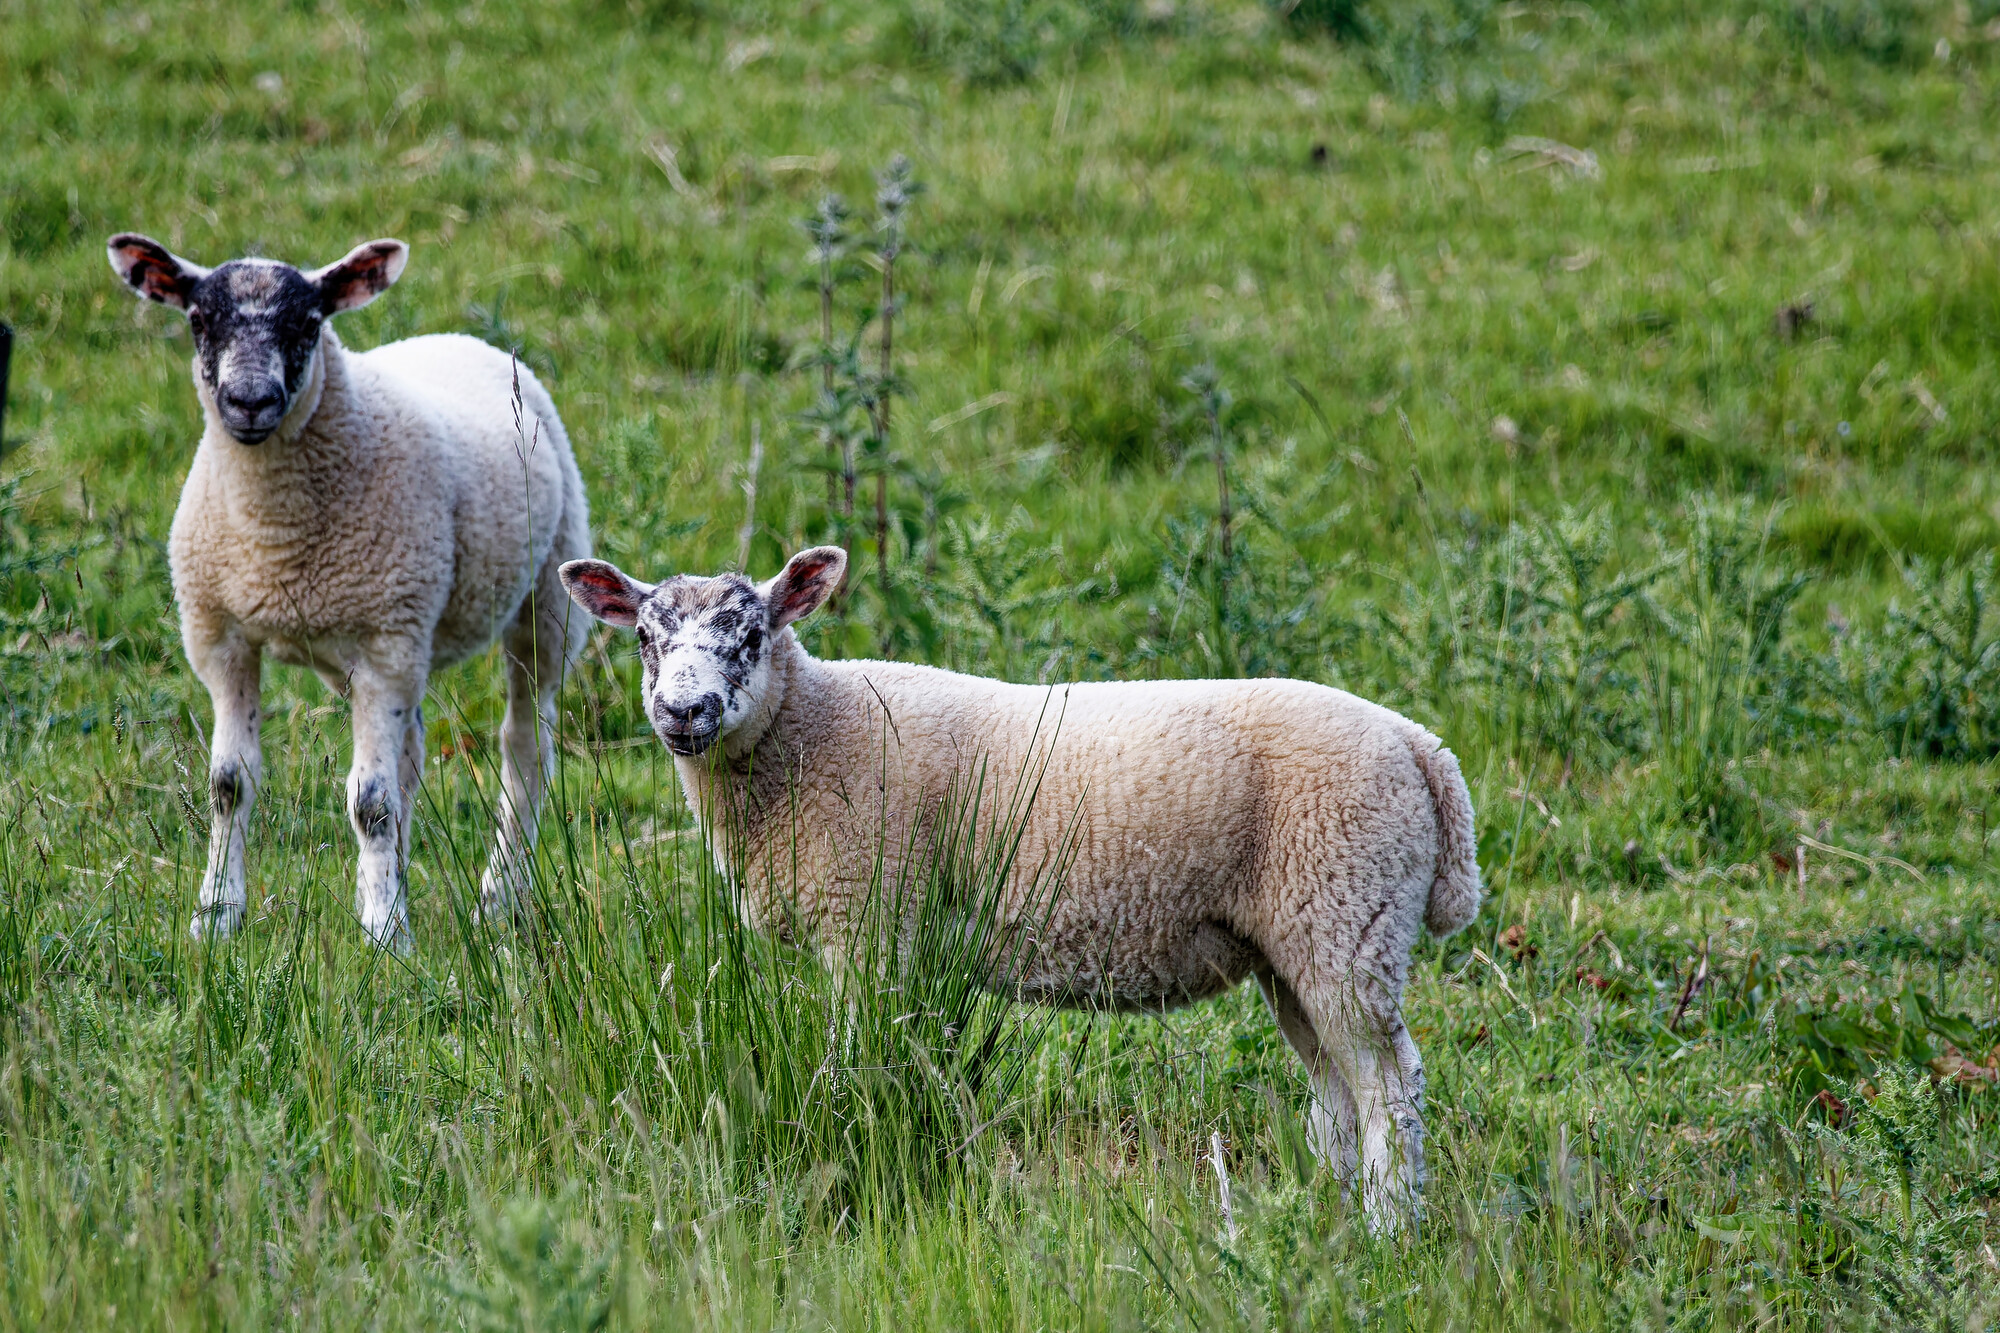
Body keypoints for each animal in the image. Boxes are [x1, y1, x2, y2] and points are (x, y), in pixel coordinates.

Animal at [107, 232, 591, 950]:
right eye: (198, 319)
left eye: (309, 322)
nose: (249, 402)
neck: (274, 537)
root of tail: (459, 338)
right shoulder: (222, 638)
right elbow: (229, 784)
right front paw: (216, 915)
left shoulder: (386, 638)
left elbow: (371, 802)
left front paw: (387, 934)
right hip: (389, 647)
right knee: (412, 751)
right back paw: (393, 884)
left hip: (544, 597)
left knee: (525, 747)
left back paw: (496, 896)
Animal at [559, 544, 1482, 1230]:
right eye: (644, 638)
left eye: (750, 634)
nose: (684, 712)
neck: (811, 732)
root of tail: (1420, 745)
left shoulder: (872, 920)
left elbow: (860, 1062)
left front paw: (859, 1142)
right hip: (1298, 939)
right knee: (1338, 1091)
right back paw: (1332, 1217)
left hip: (1346, 910)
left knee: (1390, 1086)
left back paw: (1388, 1230)